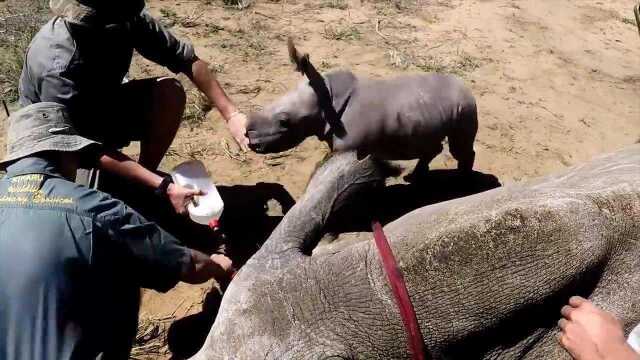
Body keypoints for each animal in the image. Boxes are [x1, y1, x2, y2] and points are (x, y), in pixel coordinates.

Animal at [248, 39, 478, 179]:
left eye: (284, 122)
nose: (250, 140)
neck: (327, 100)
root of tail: (467, 88)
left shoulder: (350, 148)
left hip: (465, 107)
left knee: (459, 147)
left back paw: (463, 181)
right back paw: (415, 177)